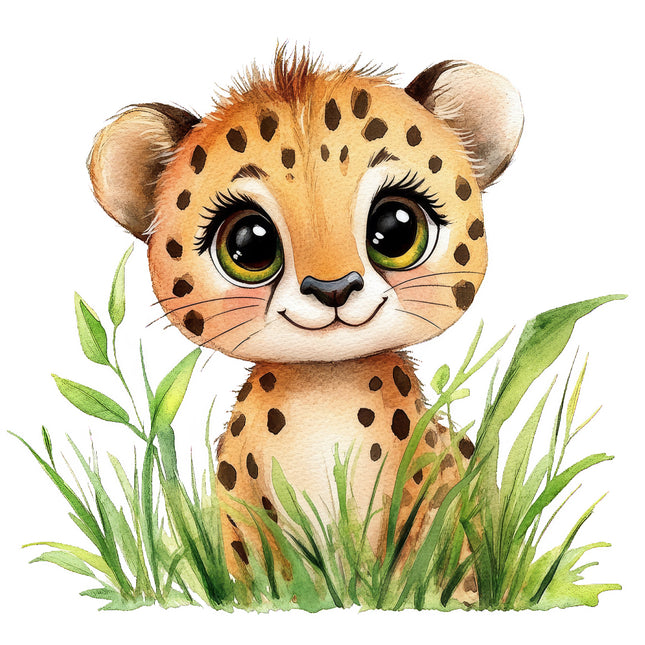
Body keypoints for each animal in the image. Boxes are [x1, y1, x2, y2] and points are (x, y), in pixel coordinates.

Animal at [88, 48, 523, 602]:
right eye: (249, 243)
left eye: (397, 227)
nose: (333, 288)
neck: (326, 391)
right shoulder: (244, 518)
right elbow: (265, 580)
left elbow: (422, 569)